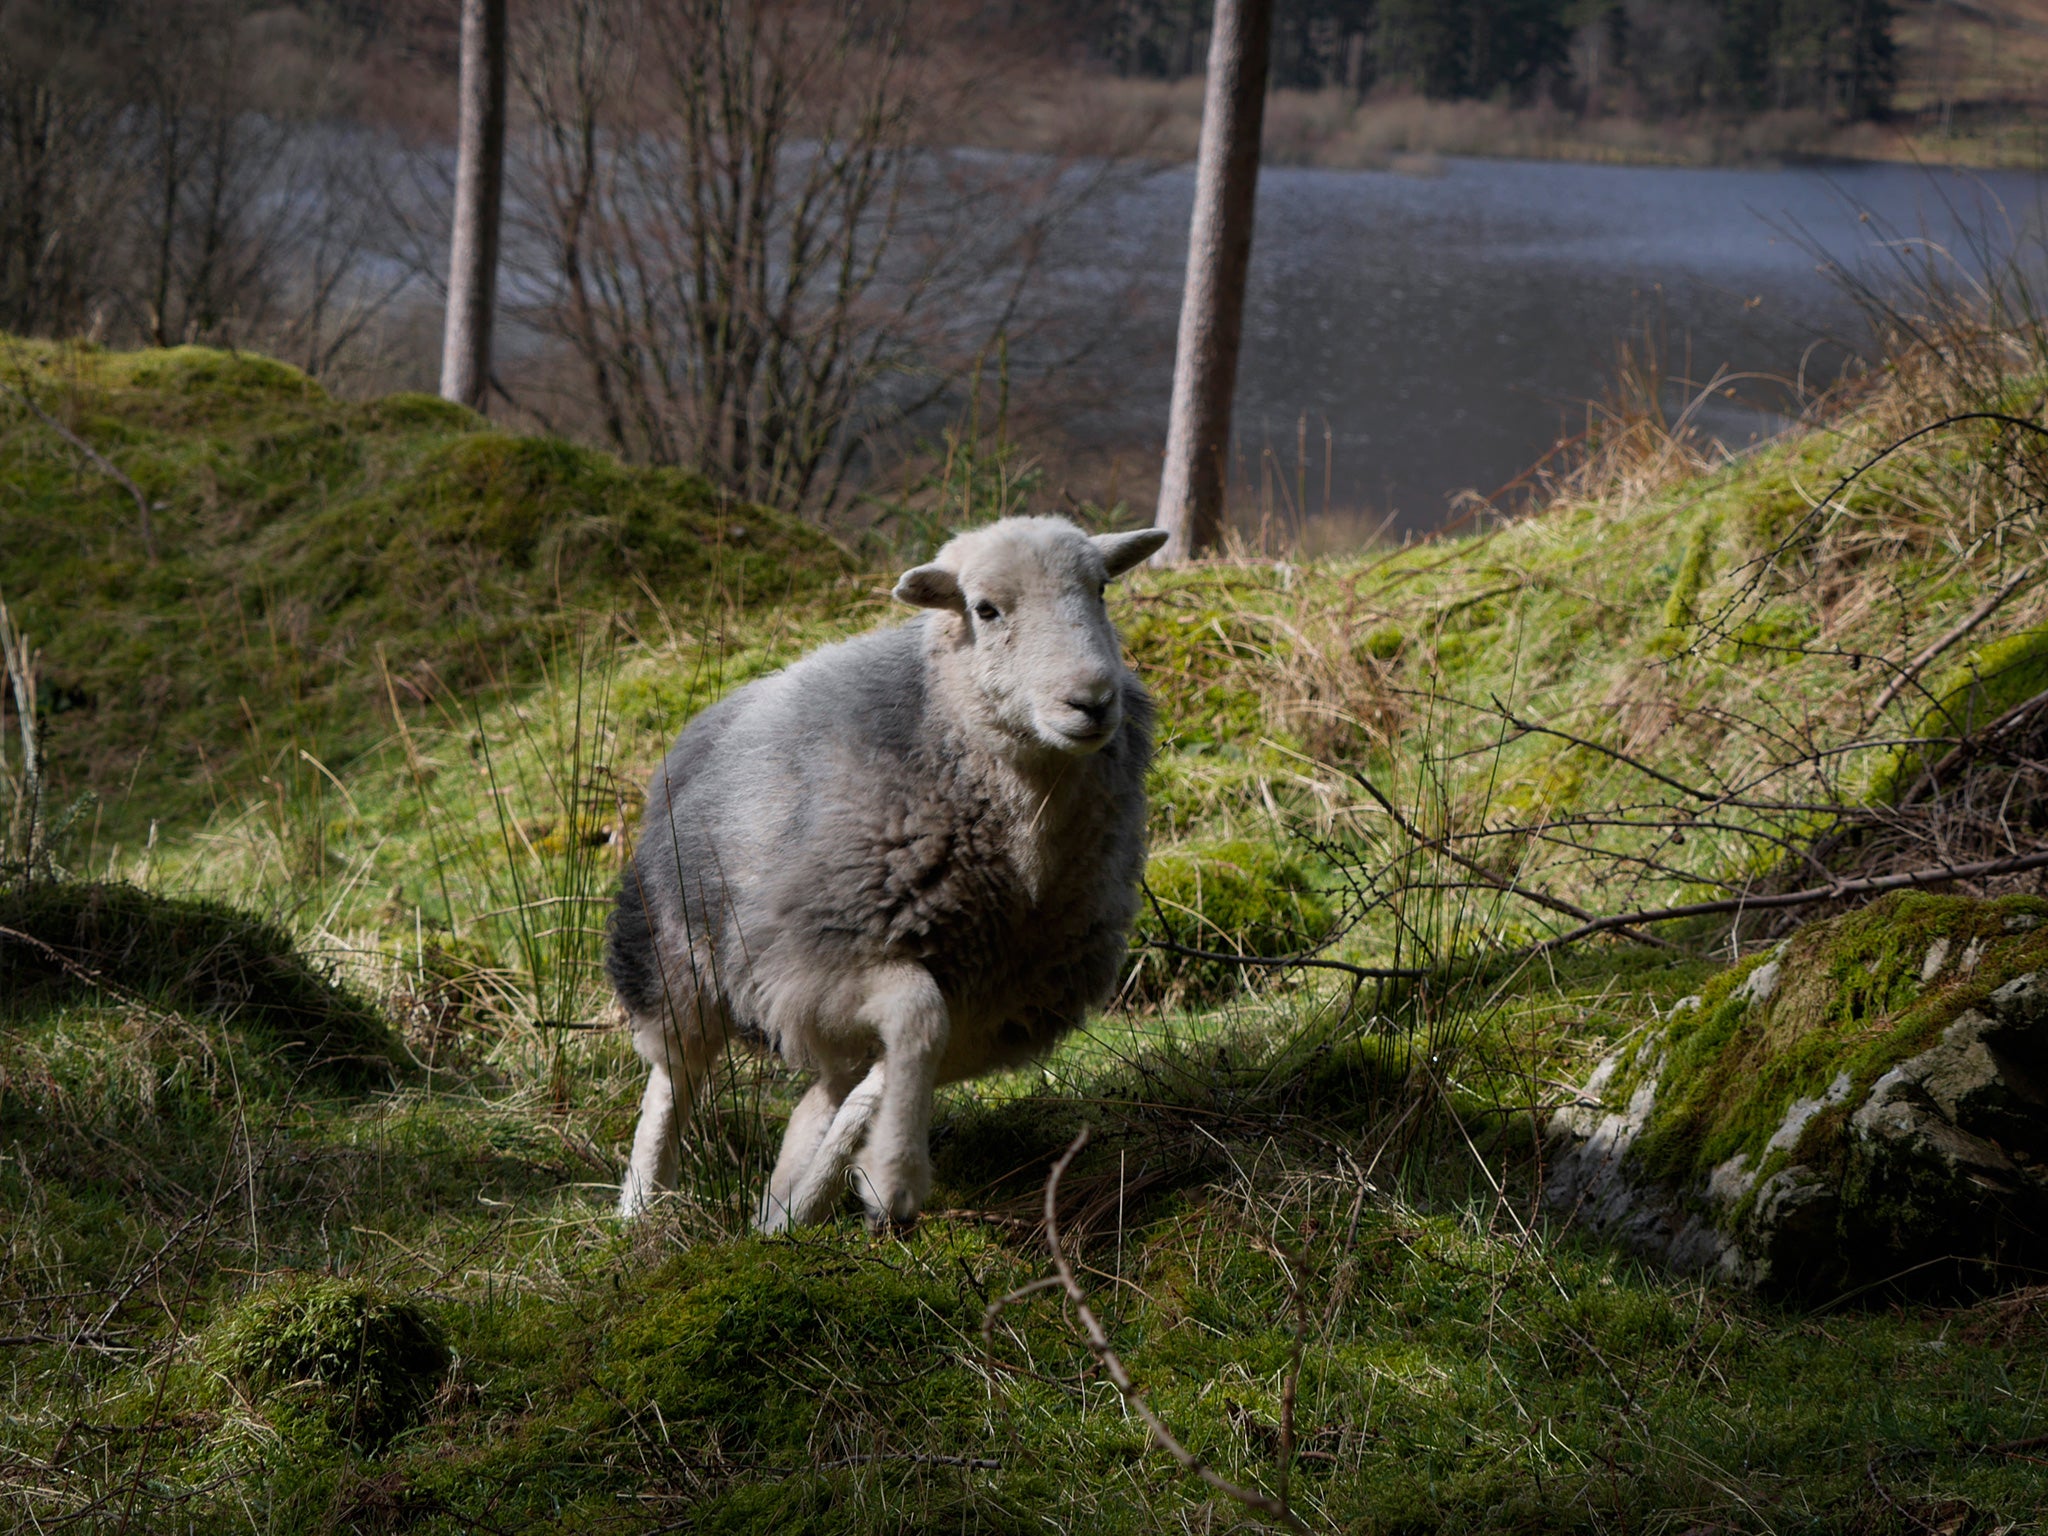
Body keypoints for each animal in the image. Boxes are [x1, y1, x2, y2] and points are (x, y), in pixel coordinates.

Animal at [606, 518, 1171, 1228]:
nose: (1092, 702)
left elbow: (902, 1054)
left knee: (828, 1087)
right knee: (673, 1077)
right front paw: (893, 1178)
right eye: (985, 609)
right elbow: (917, 1017)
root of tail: (709, 719)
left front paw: (856, 1177)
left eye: (1100, 590)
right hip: (676, 950)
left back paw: (785, 1210)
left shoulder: (998, 1001)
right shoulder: (820, 954)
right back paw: (640, 1208)